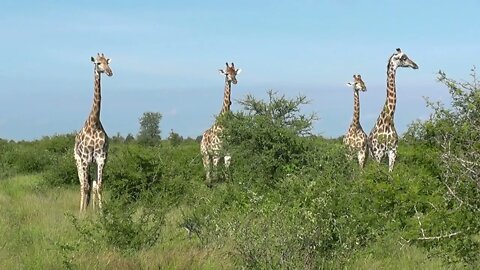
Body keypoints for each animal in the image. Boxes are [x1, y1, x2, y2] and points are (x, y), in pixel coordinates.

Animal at [73, 53, 113, 212]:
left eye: (107, 62)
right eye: (98, 63)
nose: (109, 72)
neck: (94, 123)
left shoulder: (101, 159)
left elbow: (99, 187)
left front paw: (100, 213)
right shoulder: (84, 159)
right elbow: (85, 187)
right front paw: (83, 214)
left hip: (94, 163)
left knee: (93, 185)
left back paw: (93, 209)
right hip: (78, 161)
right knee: (82, 186)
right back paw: (81, 210)